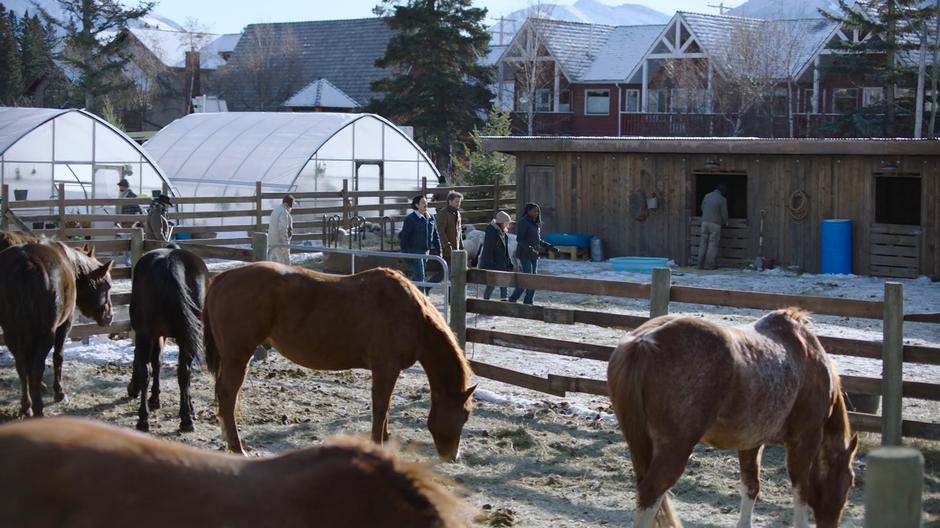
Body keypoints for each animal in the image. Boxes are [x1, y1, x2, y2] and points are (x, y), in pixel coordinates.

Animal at [0, 239, 114, 416]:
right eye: (107, 286)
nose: (110, 316)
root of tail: (24, 265)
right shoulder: (64, 325)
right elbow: (58, 356)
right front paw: (59, 392)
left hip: (11, 333)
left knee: (21, 367)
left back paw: (26, 406)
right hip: (45, 334)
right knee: (36, 369)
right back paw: (38, 409)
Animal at [126, 245, 208, 432]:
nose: (130, 390)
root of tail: (172, 261)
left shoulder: (154, 334)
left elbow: (155, 363)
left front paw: (154, 400)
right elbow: (159, 363)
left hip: (144, 333)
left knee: (146, 371)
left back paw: (143, 420)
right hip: (186, 334)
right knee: (184, 371)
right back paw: (186, 419)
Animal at [202, 262, 474, 458]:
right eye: (464, 416)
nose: (453, 456)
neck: (412, 316)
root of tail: (222, 278)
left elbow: (384, 409)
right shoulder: (385, 368)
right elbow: (380, 407)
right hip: (238, 356)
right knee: (228, 397)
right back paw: (238, 449)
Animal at [608, 308, 860, 528]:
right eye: (850, 481)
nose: (831, 524)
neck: (808, 358)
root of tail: (644, 341)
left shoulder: (751, 442)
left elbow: (751, 487)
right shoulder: (804, 440)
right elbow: (801, 491)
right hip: (675, 448)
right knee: (651, 494)